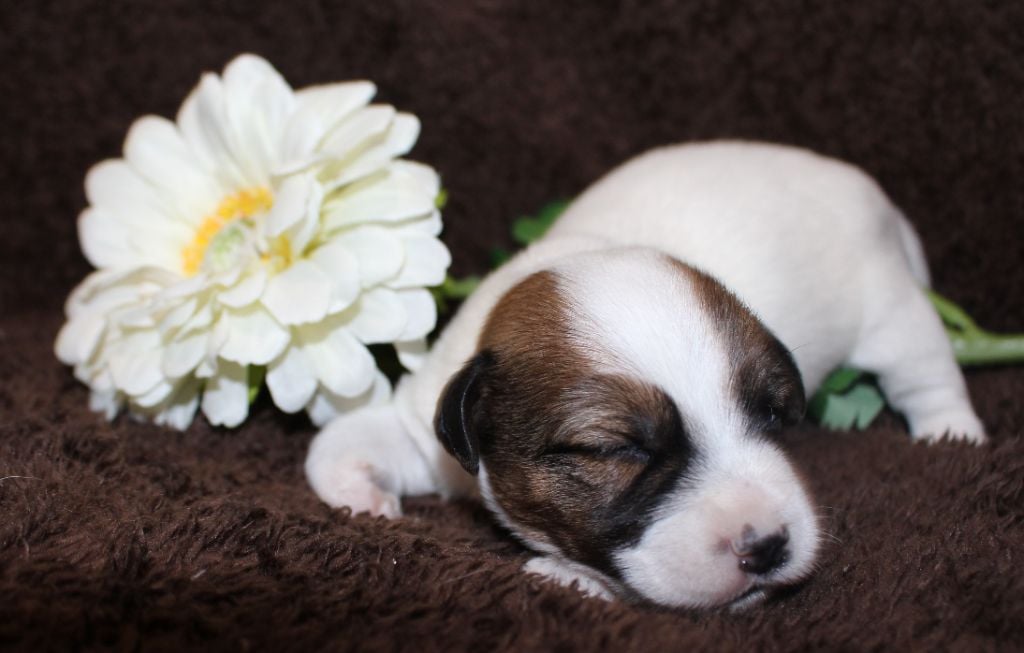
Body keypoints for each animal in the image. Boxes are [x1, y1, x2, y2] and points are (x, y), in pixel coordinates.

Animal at [303, 141, 983, 610]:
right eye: (614, 449)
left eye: (770, 413)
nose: (768, 545)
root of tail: (867, 191)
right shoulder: (429, 425)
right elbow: (340, 444)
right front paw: (362, 493)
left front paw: (568, 575)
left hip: (892, 311)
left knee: (927, 371)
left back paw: (952, 433)